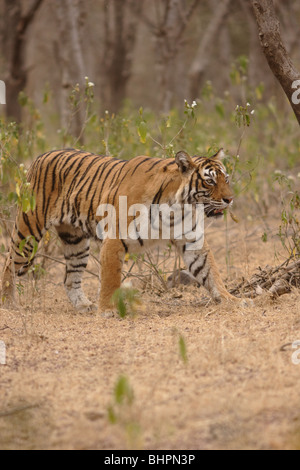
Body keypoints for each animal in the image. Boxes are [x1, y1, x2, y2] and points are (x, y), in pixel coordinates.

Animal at [1, 149, 238, 314]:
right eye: (210, 181)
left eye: (226, 179)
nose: (230, 199)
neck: (177, 207)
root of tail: (40, 156)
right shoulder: (115, 238)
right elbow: (110, 277)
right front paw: (108, 310)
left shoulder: (191, 240)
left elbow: (210, 270)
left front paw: (230, 298)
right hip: (28, 233)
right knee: (9, 263)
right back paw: (8, 302)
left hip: (76, 242)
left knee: (70, 278)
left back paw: (84, 305)